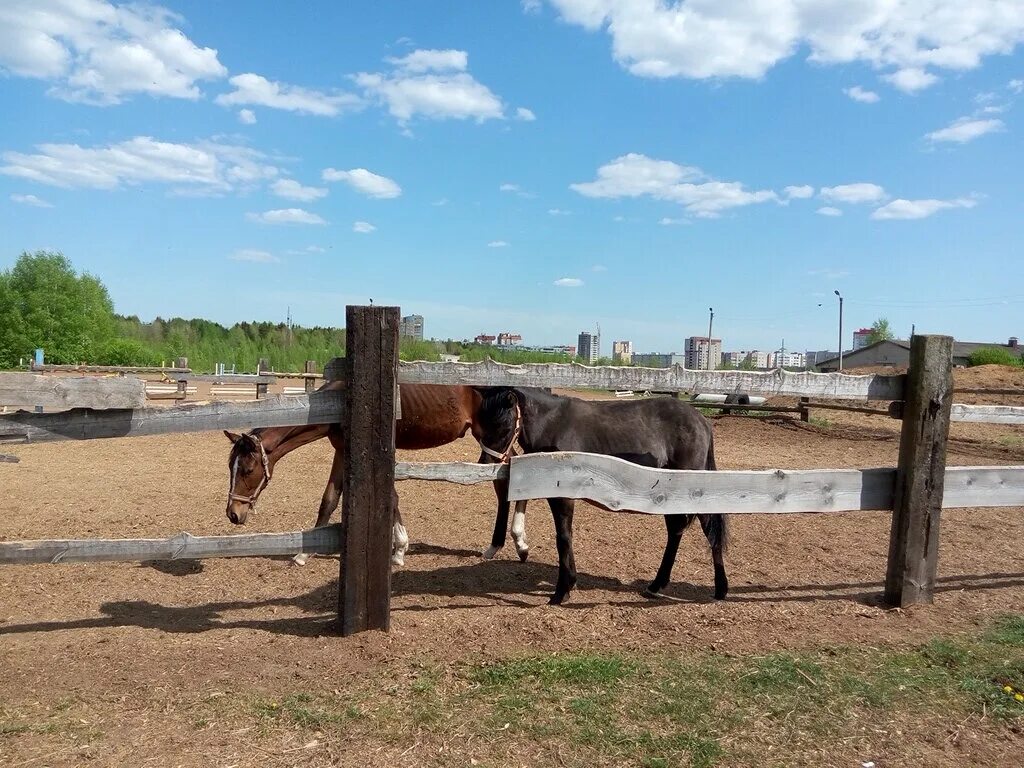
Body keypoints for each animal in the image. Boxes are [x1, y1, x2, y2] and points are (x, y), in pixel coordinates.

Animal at [222, 382, 528, 569]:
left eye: (248, 470)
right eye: (230, 466)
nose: (234, 513)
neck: (341, 402)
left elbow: (391, 497)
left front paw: (399, 551)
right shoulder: (342, 451)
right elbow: (329, 499)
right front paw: (304, 553)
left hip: (493, 445)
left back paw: (516, 543)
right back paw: (501, 546)